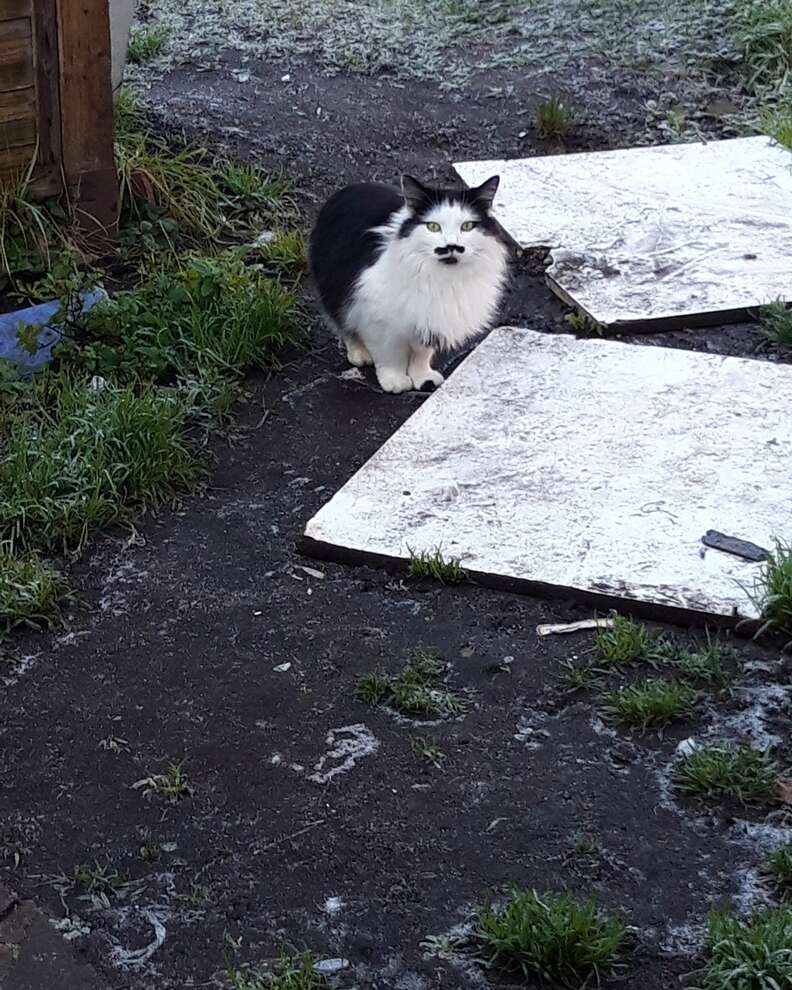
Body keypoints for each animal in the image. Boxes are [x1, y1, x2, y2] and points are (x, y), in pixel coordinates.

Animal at [310, 176, 508, 394]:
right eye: (433, 227)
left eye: (467, 226)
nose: (451, 246)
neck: (442, 278)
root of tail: (345, 190)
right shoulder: (378, 319)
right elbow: (390, 355)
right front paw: (395, 381)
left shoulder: (429, 319)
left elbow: (422, 354)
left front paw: (423, 378)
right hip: (335, 289)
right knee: (344, 325)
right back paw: (359, 354)